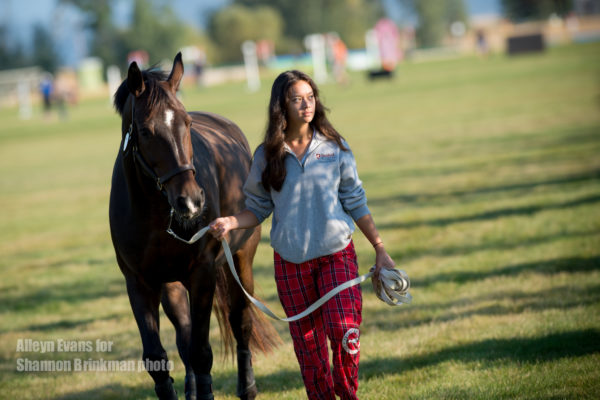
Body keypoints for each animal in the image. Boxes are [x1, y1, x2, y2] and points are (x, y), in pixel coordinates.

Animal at [110, 53, 278, 400]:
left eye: (186, 123)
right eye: (145, 130)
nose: (190, 201)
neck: (154, 213)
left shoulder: (202, 274)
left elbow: (202, 352)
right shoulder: (139, 283)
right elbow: (159, 357)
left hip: (241, 258)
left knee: (240, 321)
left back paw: (247, 387)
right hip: (171, 284)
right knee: (184, 337)